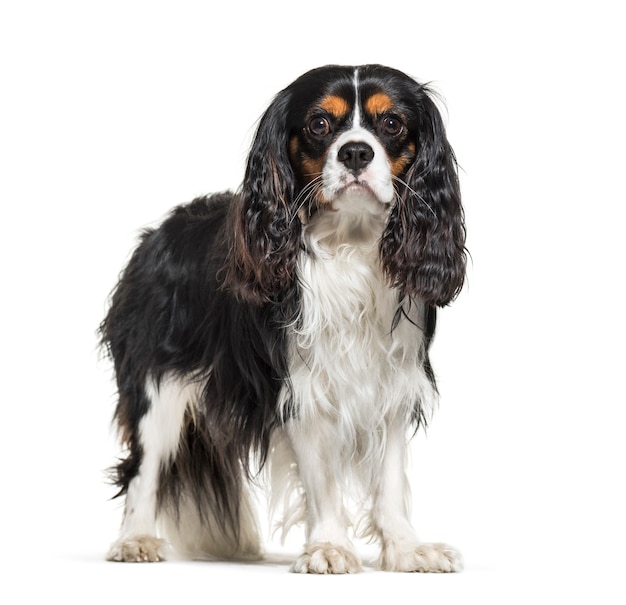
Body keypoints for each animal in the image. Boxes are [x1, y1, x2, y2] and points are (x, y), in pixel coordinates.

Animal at [100, 63, 466, 572]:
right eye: (319, 124)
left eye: (392, 124)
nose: (356, 151)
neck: (349, 243)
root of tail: (159, 232)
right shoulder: (302, 387)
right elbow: (322, 478)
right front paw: (329, 546)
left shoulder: (393, 378)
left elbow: (390, 481)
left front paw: (407, 550)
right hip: (157, 387)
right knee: (143, 466)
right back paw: (135, 539)